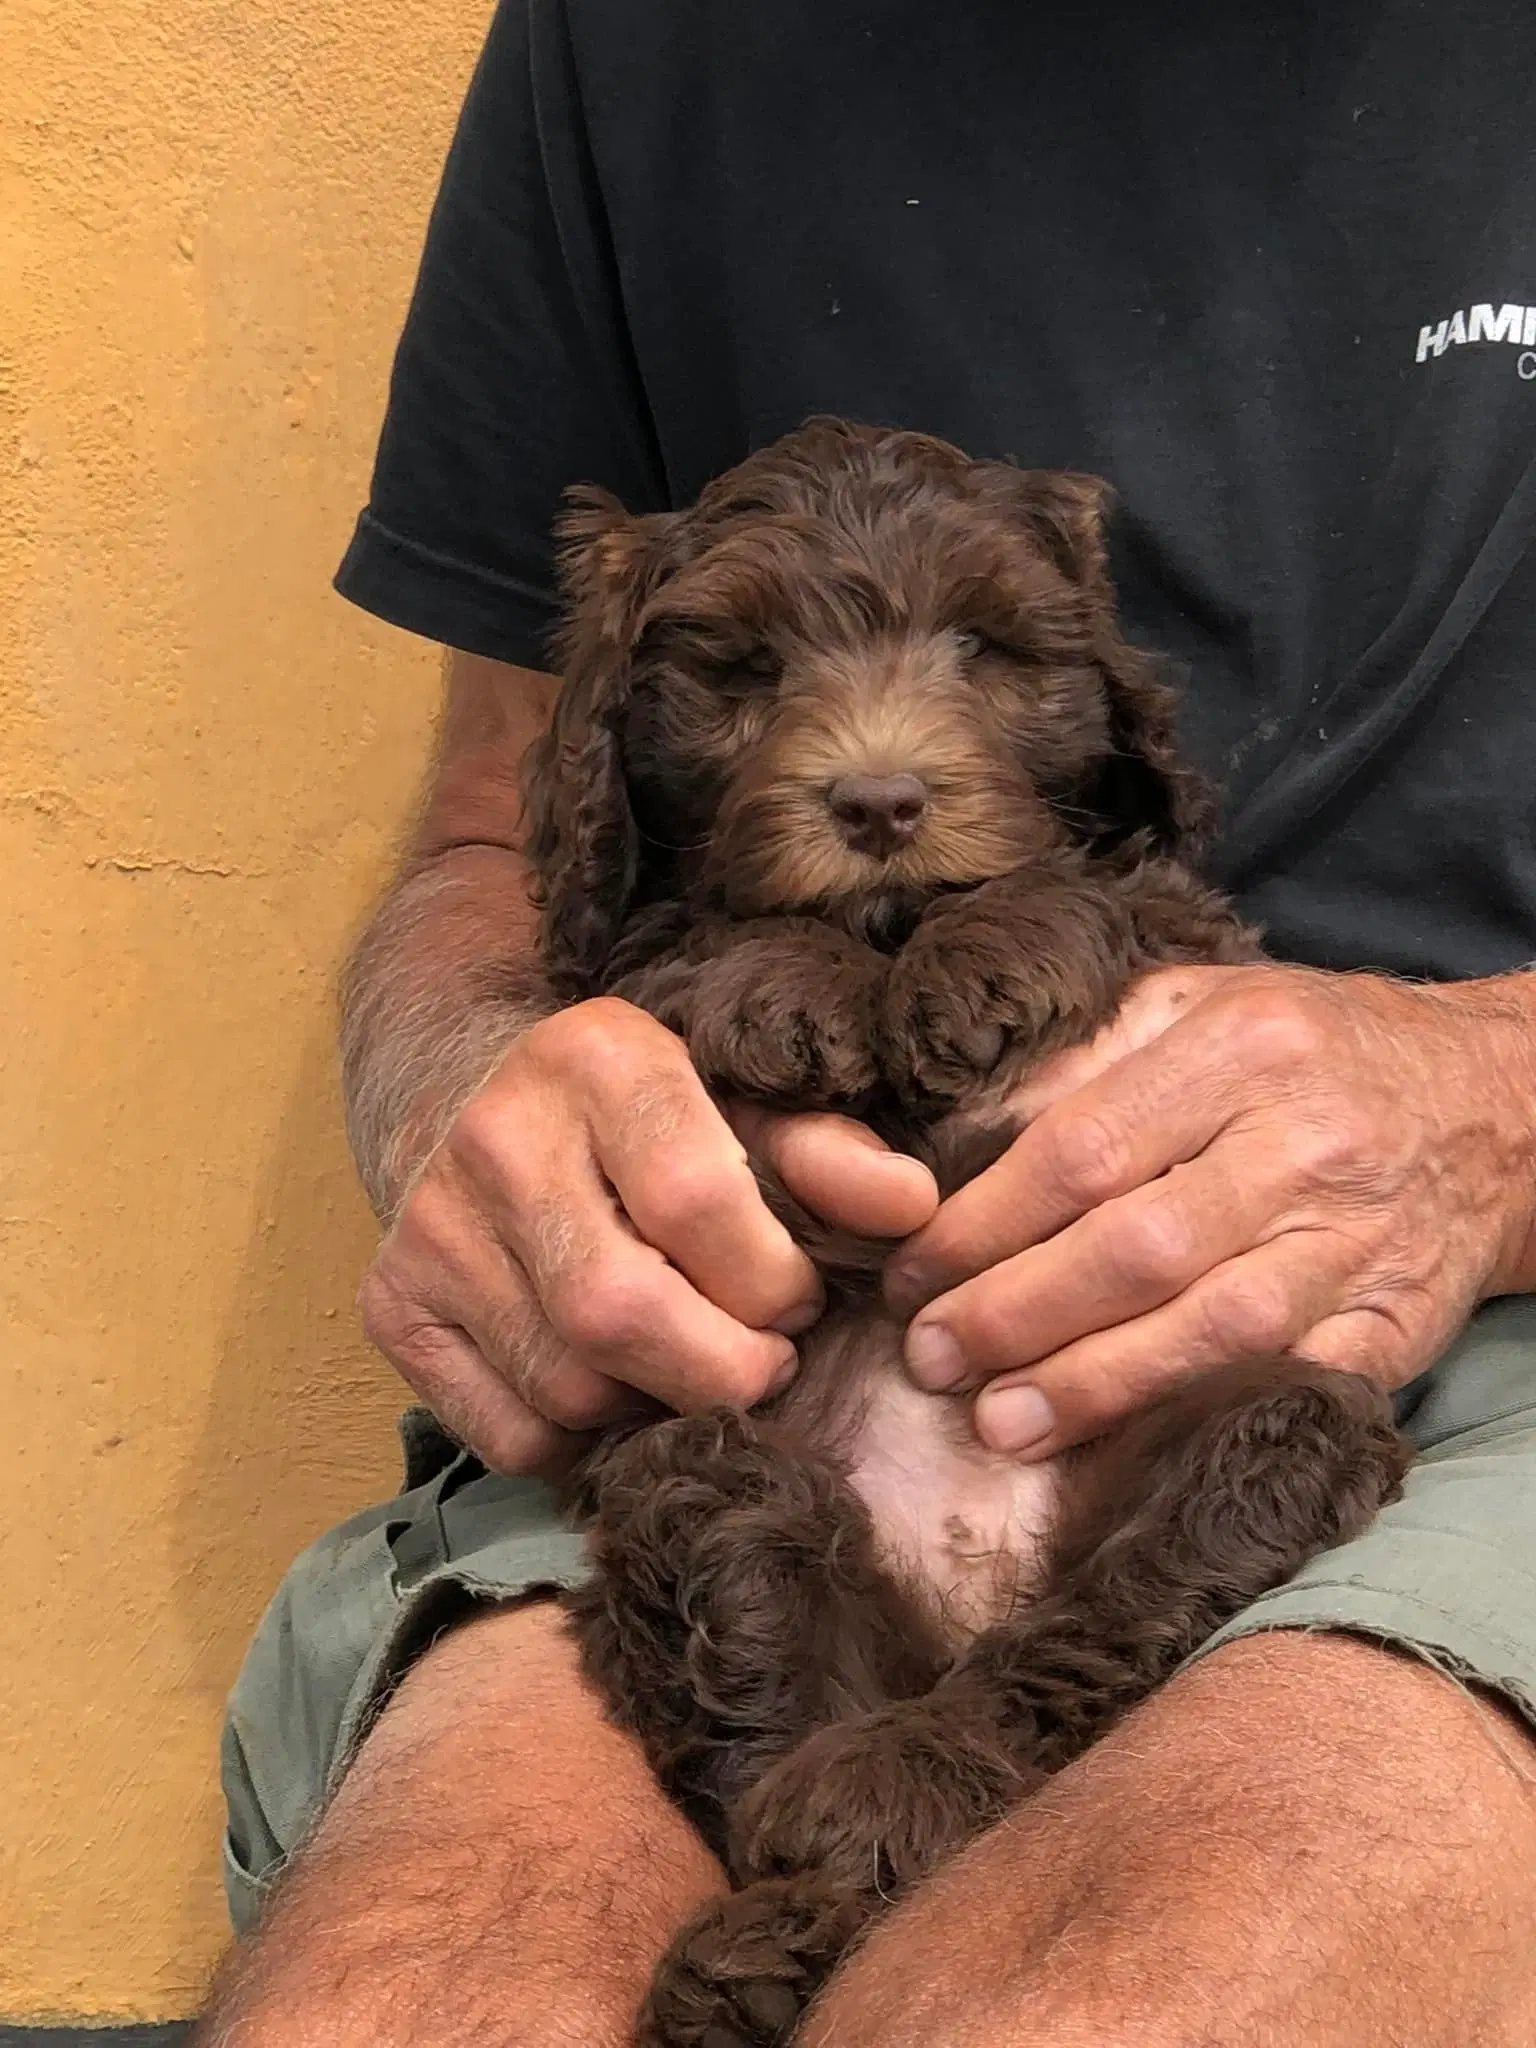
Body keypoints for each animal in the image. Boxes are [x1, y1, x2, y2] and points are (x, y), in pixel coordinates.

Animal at [512, 419, 1417, 2048]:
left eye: (988, 649)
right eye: (743, 670)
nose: (878, 803)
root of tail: (960, 1581)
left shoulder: (1189, 927)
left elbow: (1092, 883)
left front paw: (984, 954)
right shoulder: (611, 959)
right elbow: (675, 946)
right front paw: (780, 980)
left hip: (1267, 1417)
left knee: (1079, 1644)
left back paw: (904, 1783)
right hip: (708, 1464)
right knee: (768, 1694)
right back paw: (781, 1923)